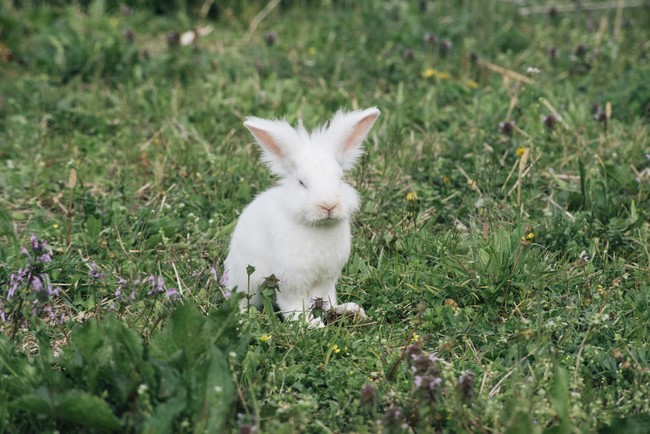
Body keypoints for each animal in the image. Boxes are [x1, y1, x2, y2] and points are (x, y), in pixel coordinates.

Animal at [224, 107, 380, 328]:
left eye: (341, 178)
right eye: (301, 183)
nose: (328, 205)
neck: (318, 226)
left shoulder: (326, 279)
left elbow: (325, 299)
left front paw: (344, 312)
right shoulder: (289, 281)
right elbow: (293, 305)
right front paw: (310, 324)